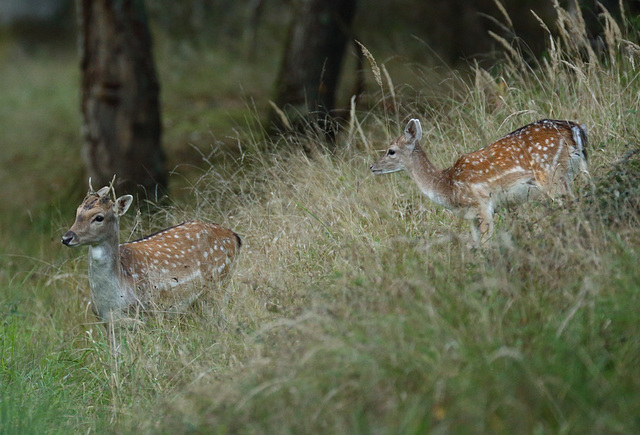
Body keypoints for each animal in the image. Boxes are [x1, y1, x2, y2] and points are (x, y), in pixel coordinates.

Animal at [63, 179, 241, 350]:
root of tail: (235, 237)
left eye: (99, 217)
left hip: (219, 283)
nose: (67, 237)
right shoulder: (107, 322)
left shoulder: (151, 311)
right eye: (77, 212)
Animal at [370, 118, 592, 242]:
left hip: (550, 174)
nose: (372, 166)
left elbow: (486, 245)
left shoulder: (482, 204)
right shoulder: (471, 217)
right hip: (572, 173)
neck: (446, 185)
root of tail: (575, 129)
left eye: (391, 151)